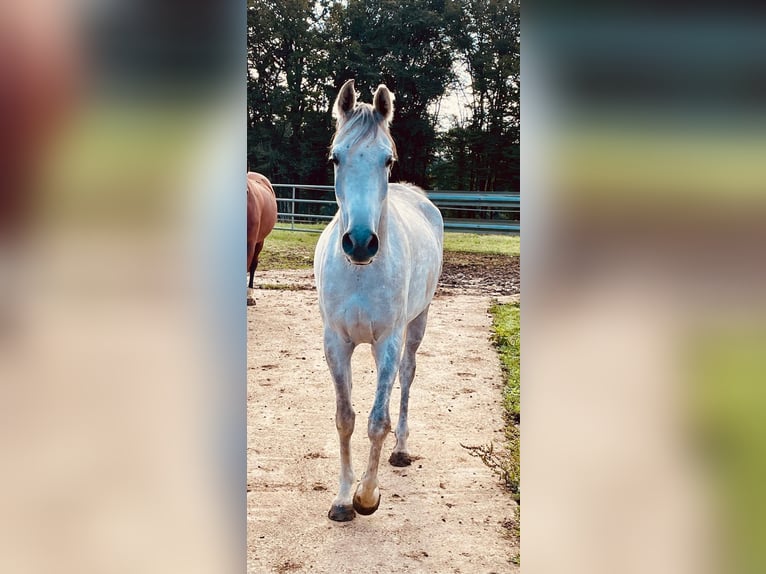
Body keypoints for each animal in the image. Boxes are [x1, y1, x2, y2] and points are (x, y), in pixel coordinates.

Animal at [314, 80, 444, 521]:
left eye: (388, 160)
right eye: (335, 158)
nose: (359, 242)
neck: (359, 272)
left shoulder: (388, 339)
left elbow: (377, 422)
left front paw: (367, 497)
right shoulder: (337, 342)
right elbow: (345, 418)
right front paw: (342, 500)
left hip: (416, 324)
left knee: (406, 377)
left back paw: (402, 450)